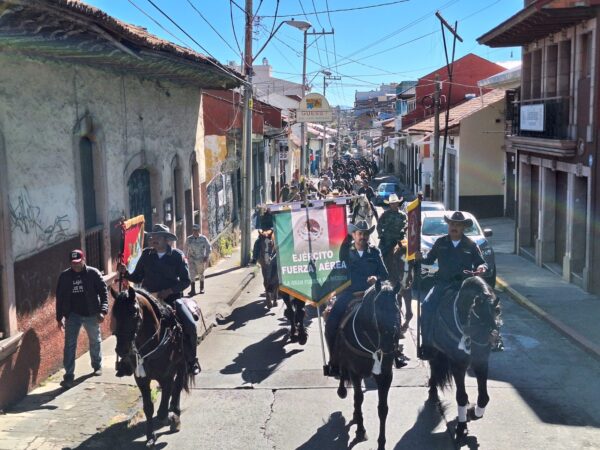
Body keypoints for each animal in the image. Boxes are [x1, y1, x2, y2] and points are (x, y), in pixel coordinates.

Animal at [108, 286, 192, 444]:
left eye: (134, 313)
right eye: (114, 313)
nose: (121, 349)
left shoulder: (167, 375)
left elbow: (163, 408)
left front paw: (169, 418)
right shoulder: (141, 379)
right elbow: (148, 407)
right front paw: (150, 436)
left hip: (181, 365)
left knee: (177, 387)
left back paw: (175, 414)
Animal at [332, 280, 398, 448]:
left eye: (397, 308)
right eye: (378, 310)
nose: (389, 345)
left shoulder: (385, 375)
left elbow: (383, 409)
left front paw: (381, 442)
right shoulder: (355, 372)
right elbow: (359, 398)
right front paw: (360, 431)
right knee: (343, 372)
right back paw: (342, 391)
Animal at [426, 276, 502, 442]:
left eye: (498, 312)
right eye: (477, 317)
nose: (494, 341)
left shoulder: (481, 363)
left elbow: (484, 397)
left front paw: (473, 413)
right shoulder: (458, 364)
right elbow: (460, 396)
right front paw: (461, 427)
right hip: (434, 350)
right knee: (434, 367)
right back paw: (433, 391)